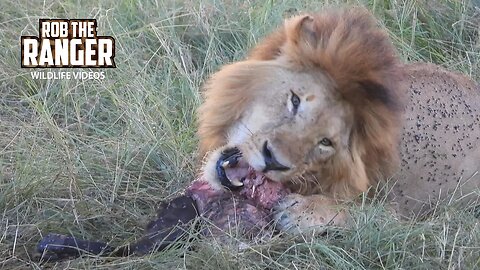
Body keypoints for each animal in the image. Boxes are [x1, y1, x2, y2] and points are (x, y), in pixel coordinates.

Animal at [195, 7, 480, 233]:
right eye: (295, 101)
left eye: (325, 142)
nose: (273, 161)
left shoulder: (399, 212)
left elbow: (364, 213)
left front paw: (301, 209)